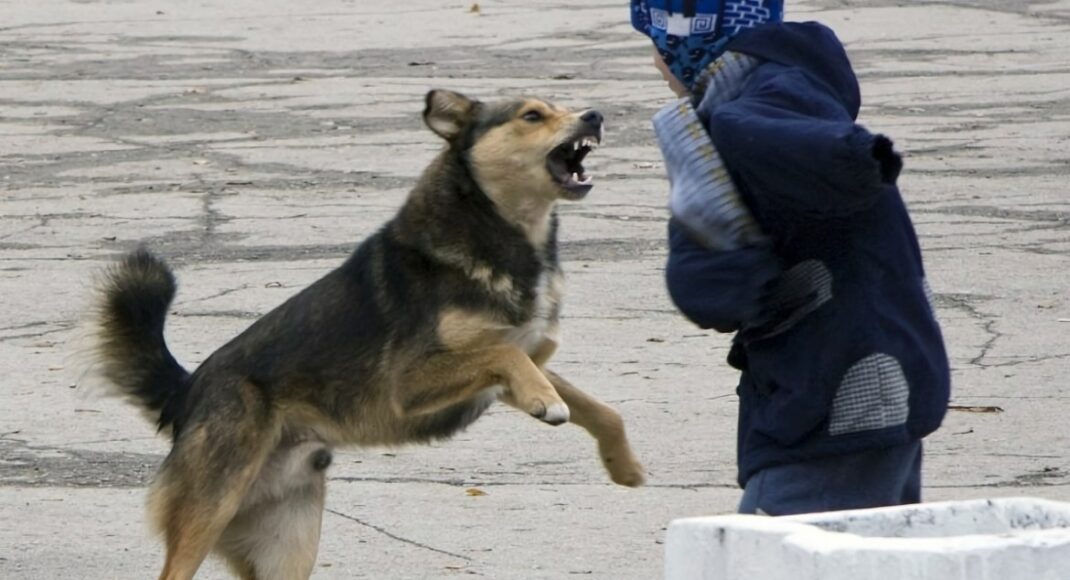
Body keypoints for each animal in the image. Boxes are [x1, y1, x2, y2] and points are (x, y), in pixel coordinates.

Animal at [94, 88, 642, 577]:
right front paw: (547, 404)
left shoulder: (517, 364)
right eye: (532, 115)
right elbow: (507, 358)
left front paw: (624, 465)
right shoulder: (413, 383)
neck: (499, 231)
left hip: (287, 542)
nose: (593, 116)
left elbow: (600, 408)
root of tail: (187, 392)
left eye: (564, 105)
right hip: (210, 508)